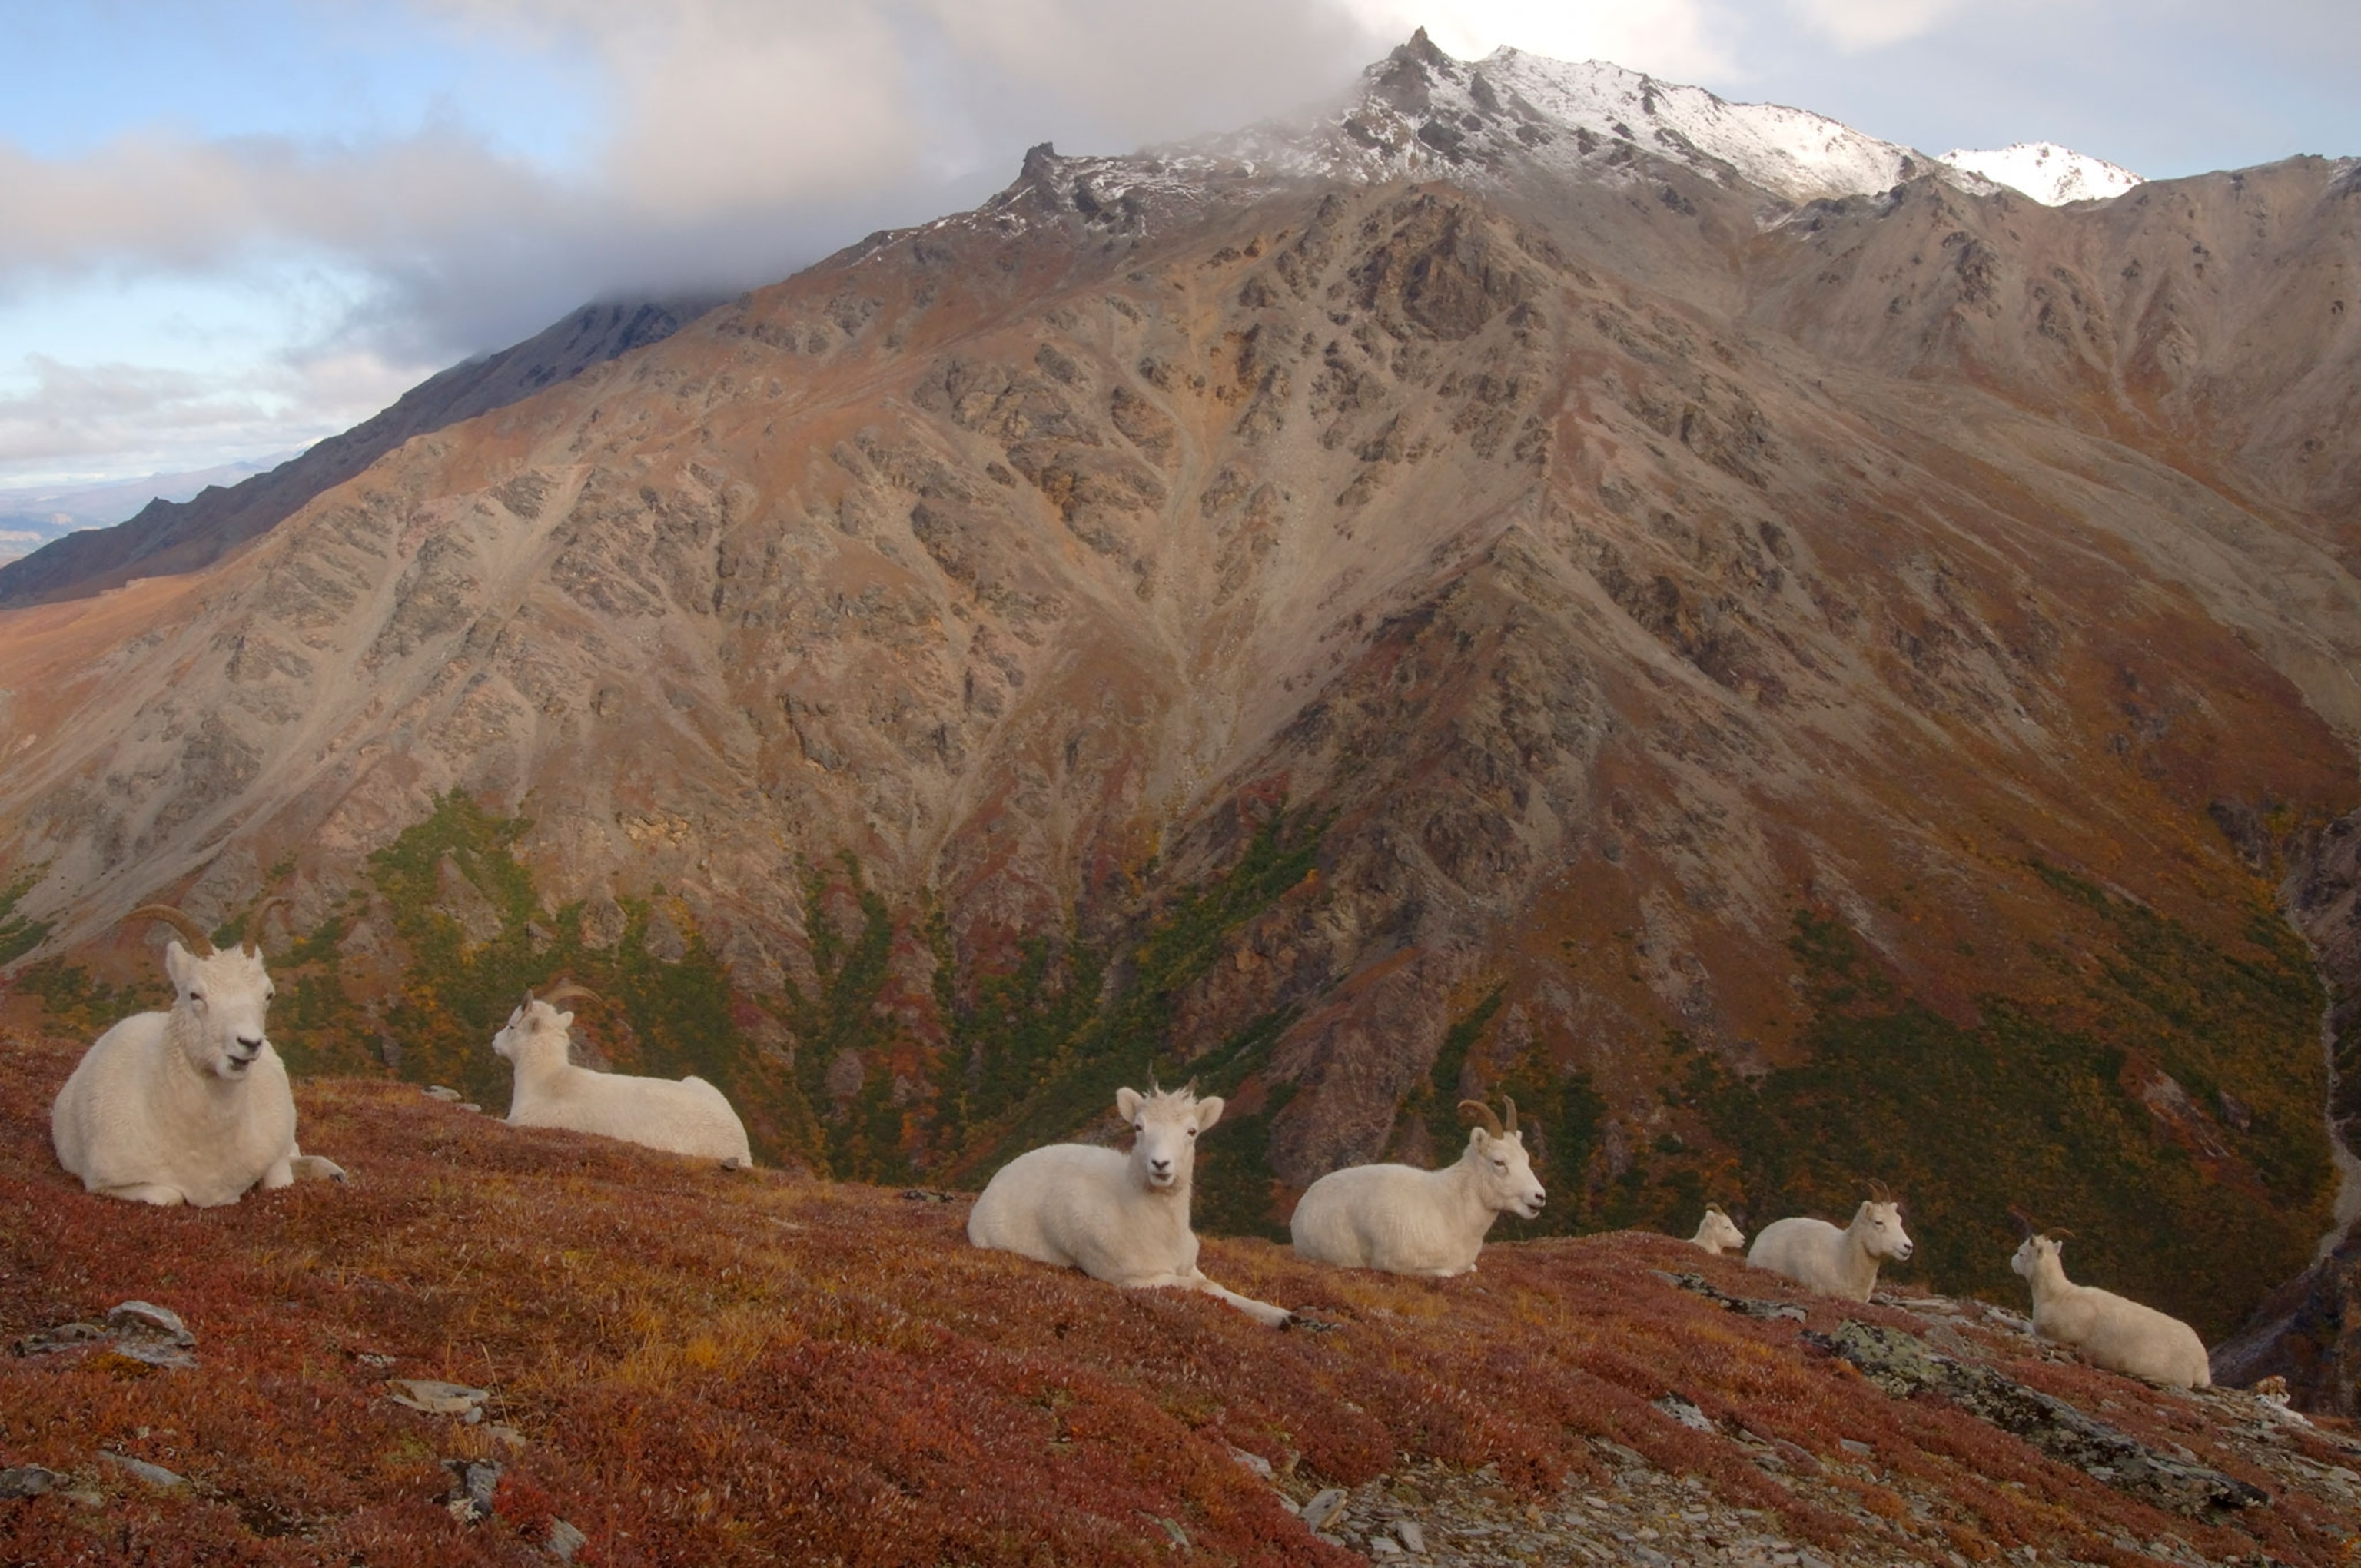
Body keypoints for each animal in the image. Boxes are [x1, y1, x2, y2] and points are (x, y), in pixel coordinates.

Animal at [51, 902, 346, 1206]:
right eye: (194, 995)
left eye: (268, 995)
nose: (250, 1043)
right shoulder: (105, 1183)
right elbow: (167, 1196)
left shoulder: (274, 1156)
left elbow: (279, 1184)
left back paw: (334, 1173)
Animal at [967, 1082, 1294, 1327]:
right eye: (1138, 1127)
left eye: (1192, 1131)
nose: (1160, 1164)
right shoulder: (1136, 1279)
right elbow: (1204, 1289)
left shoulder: (1189, 1267)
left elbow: (1218, 1287)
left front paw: (1281, 1316)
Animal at [1288, 1097, 1545, 1276]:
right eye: (1499, 1162)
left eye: (1526, 1158)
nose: (1539, 1196)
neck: (1450, 1212)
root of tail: (1302, 1203)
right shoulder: (1396, 1264)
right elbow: (1446, 1273)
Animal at [2009, 1209, 2210, 1388]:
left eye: (2022, 1253)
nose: (2012, 1262)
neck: (2057, 1296)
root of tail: (2201, 1364)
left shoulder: (2050, 1335)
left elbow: (2022, 1323)